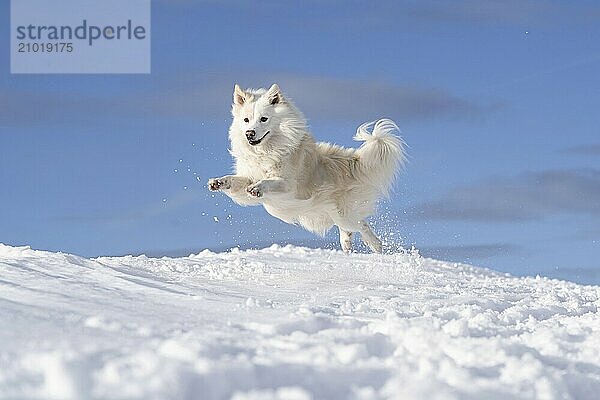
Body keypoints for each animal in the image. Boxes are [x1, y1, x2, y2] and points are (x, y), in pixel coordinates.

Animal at [207, 84, 408, 253]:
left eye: (264, 119)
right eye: (246, 120)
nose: (249, 133)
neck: (265, 152)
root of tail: (353, 161)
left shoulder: (288, 185)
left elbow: (268, 181)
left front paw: (256, 188)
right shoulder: (247, 177)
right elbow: (234, 180)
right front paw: (217, 182)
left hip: (344, 213)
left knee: (363, 225)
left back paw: (376, 247)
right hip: (335, 213)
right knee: (350, 228)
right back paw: (347, 244)